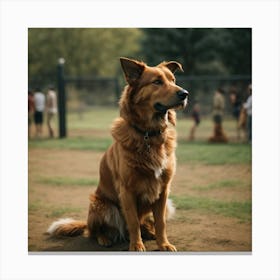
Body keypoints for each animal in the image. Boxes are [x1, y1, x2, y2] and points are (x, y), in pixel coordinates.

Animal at [47, 57, 189, 252]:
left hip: (166, 204)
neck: (148, 134)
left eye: (173, 80)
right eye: (157, 82)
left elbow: (160, 223)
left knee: (145, 223)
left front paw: (163, 244)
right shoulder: (126, 190)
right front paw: (136, 246)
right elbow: (133, 222)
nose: (185, 93)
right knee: (95, 231)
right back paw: (105, 238)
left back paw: (149, 232)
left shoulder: (163, 191)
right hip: (101, 205)